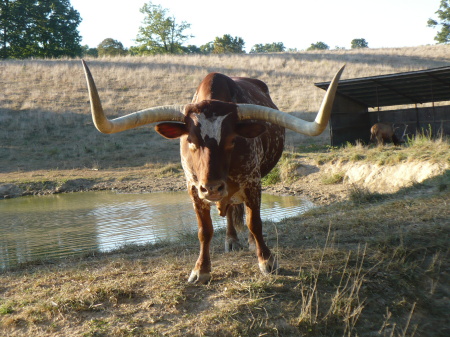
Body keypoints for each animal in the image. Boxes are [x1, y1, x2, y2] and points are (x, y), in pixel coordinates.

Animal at [82, 59, 344, 282]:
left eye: (232, 139)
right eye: (190, 140)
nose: (212, 188)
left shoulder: (252, 181)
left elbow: (255, 222)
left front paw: (267, 261)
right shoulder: (193, 187)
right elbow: (204, 230)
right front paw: (201, 270)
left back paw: (248, 242)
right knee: (229, 213)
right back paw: (231, 240)